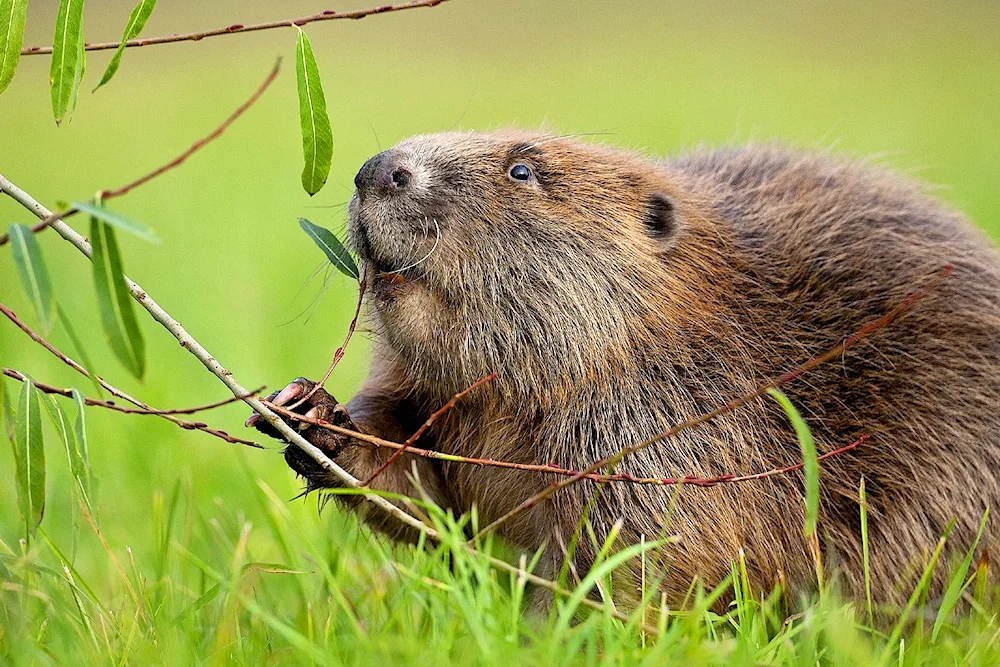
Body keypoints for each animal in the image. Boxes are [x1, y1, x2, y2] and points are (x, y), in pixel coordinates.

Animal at [246, 130, 1000, 612]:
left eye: (523, 171)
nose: (377, 170)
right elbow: (423, 487)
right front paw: (309, 413)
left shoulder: (676, 424)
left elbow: (654, 552)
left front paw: (557, 626)